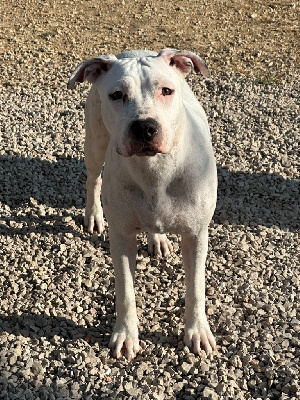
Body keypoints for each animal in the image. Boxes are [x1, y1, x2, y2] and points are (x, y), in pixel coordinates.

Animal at [68, 49, 218, 360]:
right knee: (92, 179)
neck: (155, 172)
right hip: (94, 142)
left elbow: (196, 288)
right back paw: (93, 215)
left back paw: (157, 238)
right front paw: (126, 335)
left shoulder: (197, 235)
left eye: (166, 91)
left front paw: (197, 332)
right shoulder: (122, 237)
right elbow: (125, 291)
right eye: (116, 95)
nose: (145, 127)